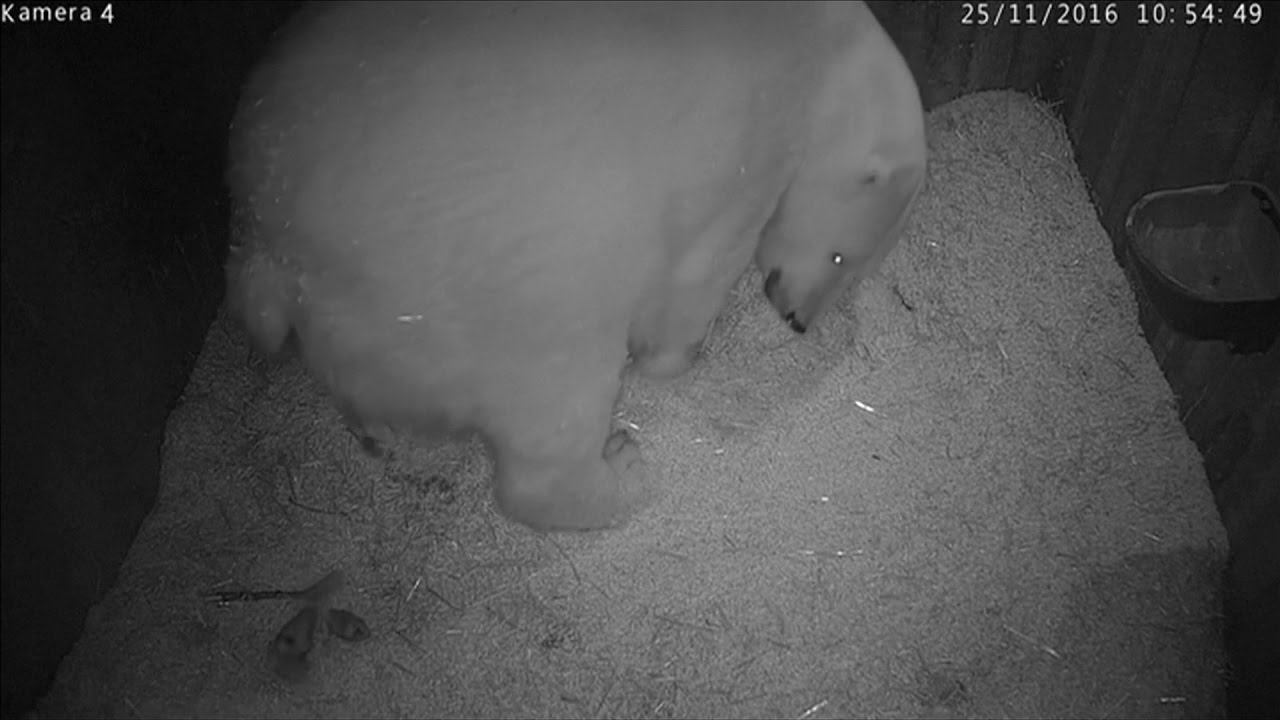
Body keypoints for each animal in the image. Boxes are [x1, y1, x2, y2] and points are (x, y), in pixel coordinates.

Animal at [224, 1, 927, 532]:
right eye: (841, 257)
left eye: (854, 271)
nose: (798, 319)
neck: (825, 43)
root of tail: (272, 238)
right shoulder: (754, 130)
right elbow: (700, 265)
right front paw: (675, 359)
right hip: (508, 286)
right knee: (552, 406)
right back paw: (623, 471)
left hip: (354, 320)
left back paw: (378, 433)